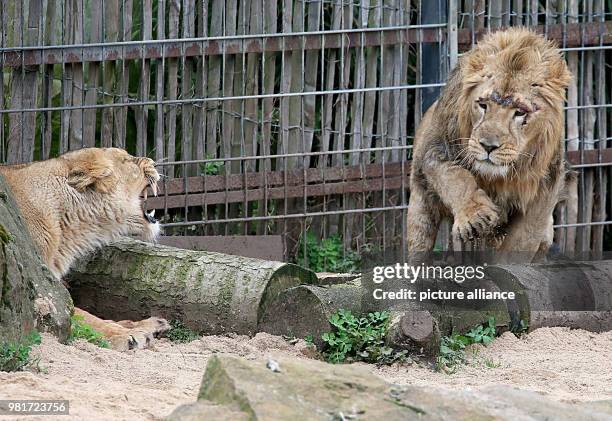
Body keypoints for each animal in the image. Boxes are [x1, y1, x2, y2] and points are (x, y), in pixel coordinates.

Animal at [0, 148, 170, 352]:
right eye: (126, 159)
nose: (154, 162)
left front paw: (145, 325)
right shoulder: (40, 290)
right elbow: (78, 315)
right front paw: (126, 335)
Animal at [406, 27, 572, 260]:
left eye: (520, 112)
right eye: (483, 105)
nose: (488, 146)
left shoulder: (545, 188)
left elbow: (521, 241)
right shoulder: (436, 149)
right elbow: (454, 178)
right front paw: (475, 215)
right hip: (420, 212)